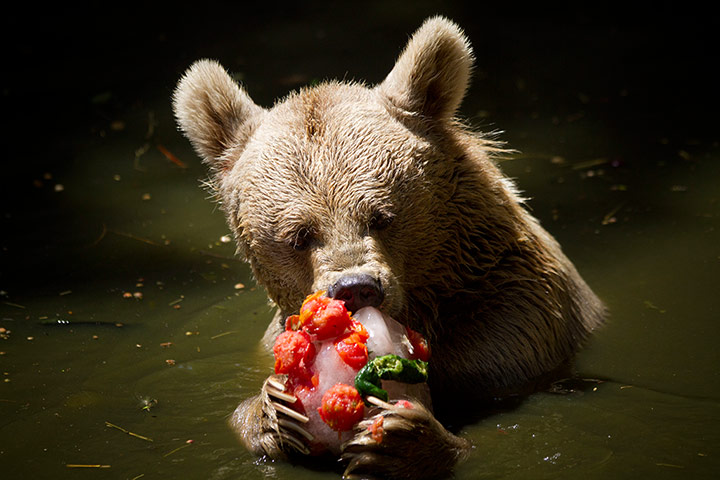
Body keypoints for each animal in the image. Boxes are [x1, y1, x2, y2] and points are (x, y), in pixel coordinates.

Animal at [173, 16, 605, 479]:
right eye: (301, 234)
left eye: (381, 216)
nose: (357, 287)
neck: (428, 304)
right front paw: (272, 412)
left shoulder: (512, 330)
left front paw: (404, 439)